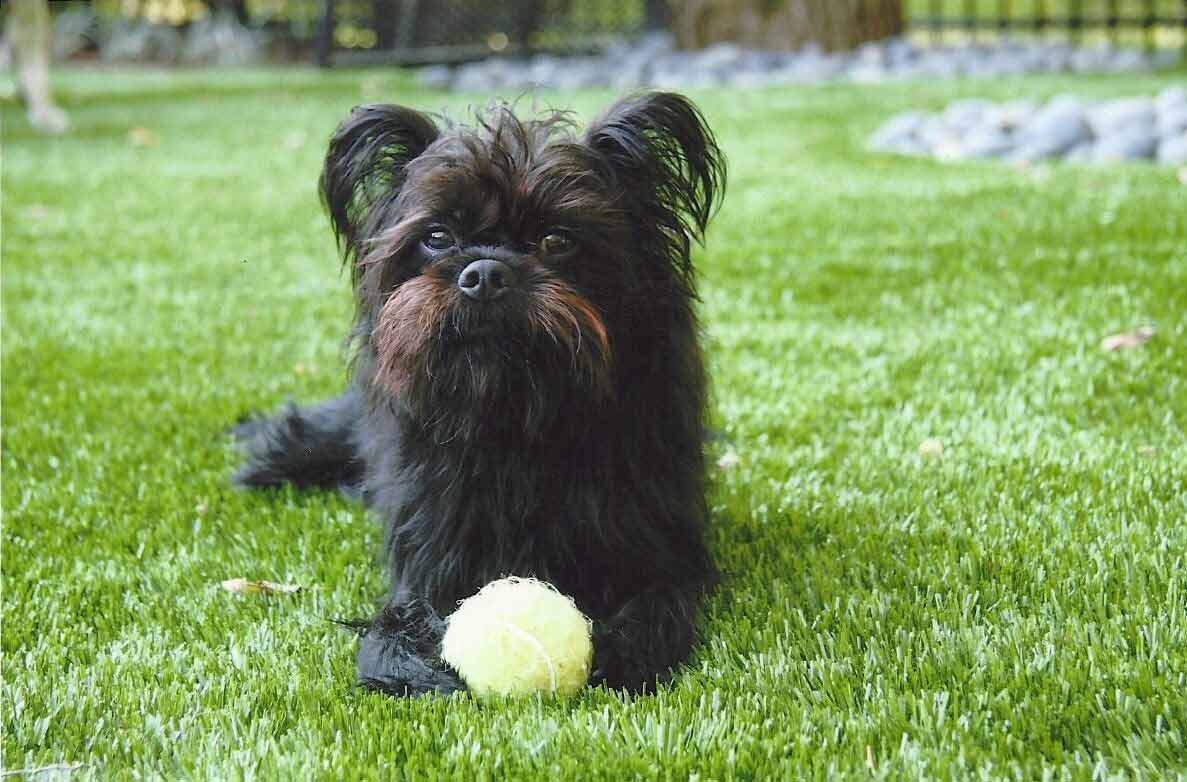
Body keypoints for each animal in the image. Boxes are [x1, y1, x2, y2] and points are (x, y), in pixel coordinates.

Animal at [233, 91, 721, 697]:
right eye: (438, 237)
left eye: (556, 240)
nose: (485, 271)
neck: (512, 418)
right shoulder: (429, 558)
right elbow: (392, 626)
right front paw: (415, 666)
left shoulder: (660, 550)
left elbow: (661, 606)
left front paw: (625, 652)